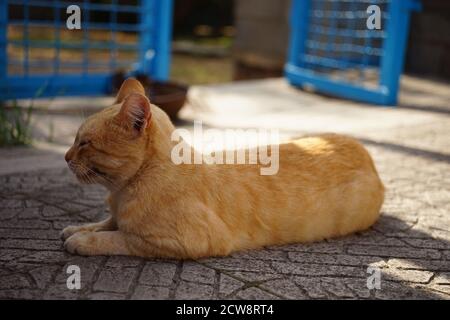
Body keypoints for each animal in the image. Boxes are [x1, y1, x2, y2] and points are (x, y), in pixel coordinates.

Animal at [61, 79, 384, 258]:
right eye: (75, 139)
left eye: (85, 143)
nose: (64, 156)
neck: (120, 192)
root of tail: (363, 150)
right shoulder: (116, 216)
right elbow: (105, 223)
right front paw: (78, 228)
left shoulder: (184, 241)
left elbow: (118, 238)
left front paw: (82, 240)